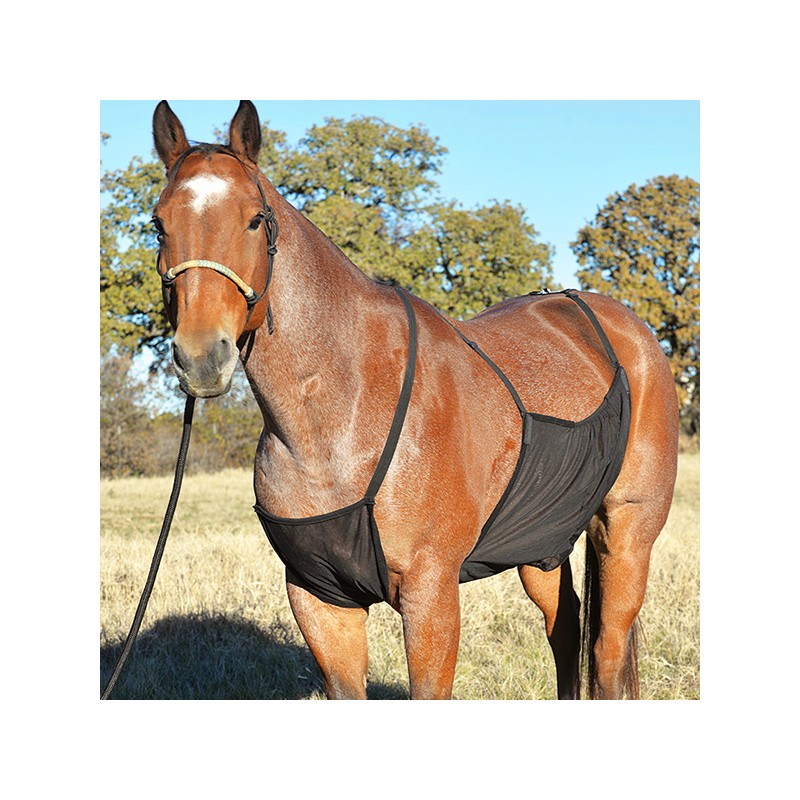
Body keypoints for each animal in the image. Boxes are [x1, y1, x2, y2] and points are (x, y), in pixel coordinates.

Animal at [150, 100, 679, 699]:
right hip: (541, 543)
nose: (200, 356)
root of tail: (625, 327)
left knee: (606, 651)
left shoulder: (431, 596)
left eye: (255, 219)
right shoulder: (321, 599)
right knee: (565, 628)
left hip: (627, 533)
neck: (339, 420)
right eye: (158, 223)